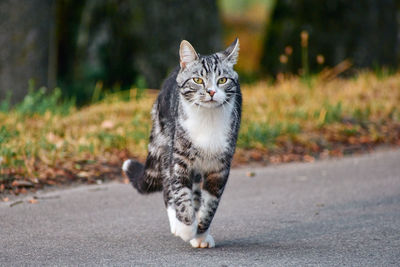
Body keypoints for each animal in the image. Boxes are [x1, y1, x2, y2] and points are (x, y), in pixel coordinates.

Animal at [122, 39, 241, 249]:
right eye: (198, 80)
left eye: (222, 80)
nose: (211, 91)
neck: (207, 119)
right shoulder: (179, 158)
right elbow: (180, 193)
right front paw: (185, 228)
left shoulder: (220, 167)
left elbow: (210, 204)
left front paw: (200, 233)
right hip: (166, 140)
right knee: (168, 188)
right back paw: (177, 224)